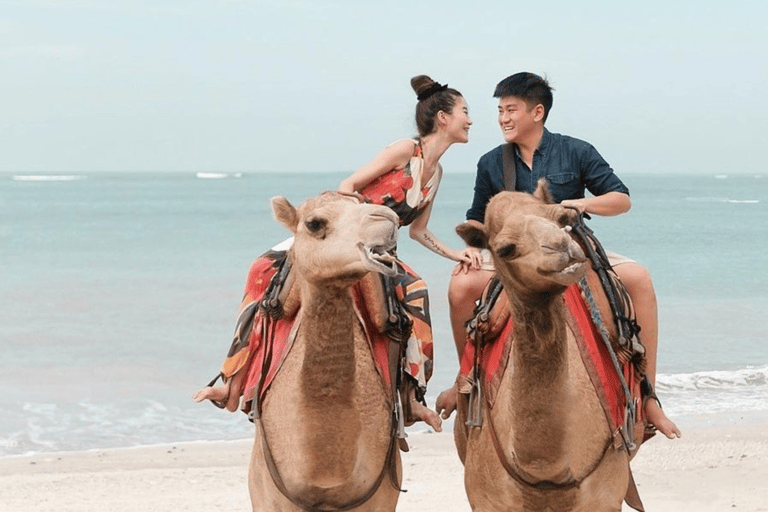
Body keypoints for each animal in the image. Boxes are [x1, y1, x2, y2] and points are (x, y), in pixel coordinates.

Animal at [452, 181, 644, 512]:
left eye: (561, 218)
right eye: (505, 249)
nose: (562, 247)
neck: (547, 474)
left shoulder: (605, 496)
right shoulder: (485, 499)